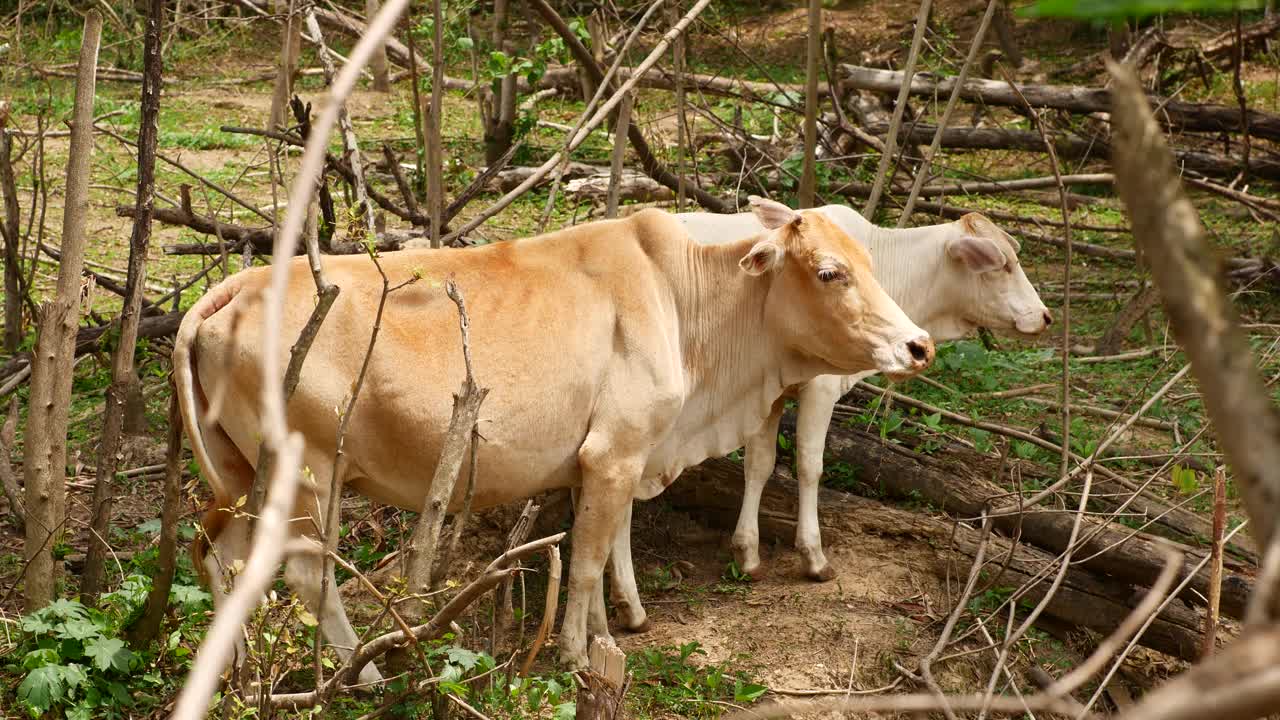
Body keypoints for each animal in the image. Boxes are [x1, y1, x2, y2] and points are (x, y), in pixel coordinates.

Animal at [604, 202, 1054, 627]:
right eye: (1004, 264)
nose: (1046, 316)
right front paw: (813, 556)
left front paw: (747, 553)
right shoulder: (819, 388)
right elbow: (809, 466)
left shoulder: (767, 393)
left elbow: (760, 464)